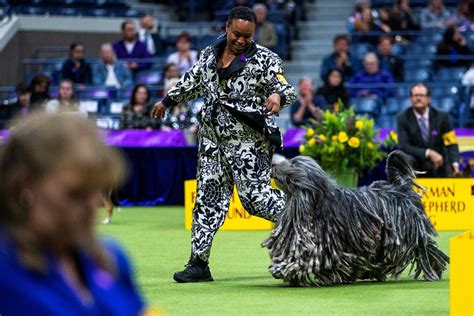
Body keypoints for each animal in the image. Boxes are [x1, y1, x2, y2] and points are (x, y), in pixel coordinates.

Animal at [264, 151, 450, 286]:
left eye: (293, 164)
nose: (273, 167)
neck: (312, 201)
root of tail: (401, 187)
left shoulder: (321, 244)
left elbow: (304, 259)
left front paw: (282, 269)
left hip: (411, 233)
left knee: (427, 250)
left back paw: (435, 269)